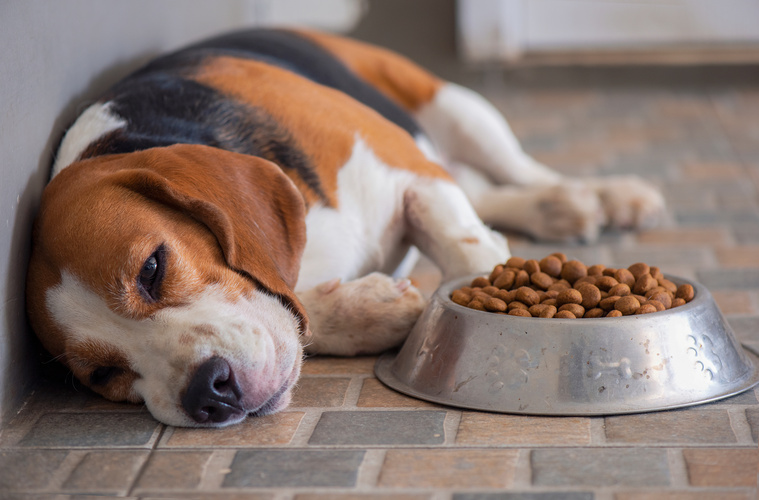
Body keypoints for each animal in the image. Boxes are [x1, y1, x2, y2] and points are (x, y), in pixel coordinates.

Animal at [23, 28, 664, 426]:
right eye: (103, 375)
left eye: (152, 269)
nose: (207, 391)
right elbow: (302, 310)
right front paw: (370, 312)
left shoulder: (407, 168)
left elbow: (466, 252)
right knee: (487, 189)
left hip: (455, 107)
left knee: (519, 168)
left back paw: (594, 198)